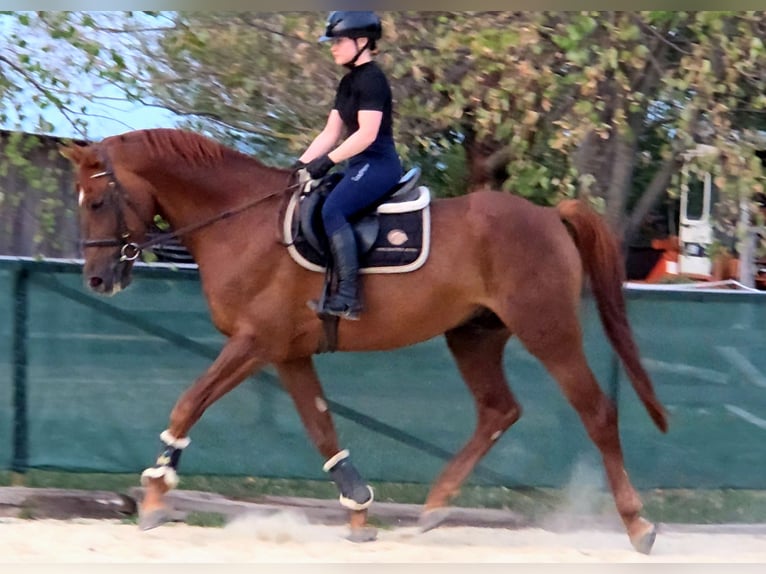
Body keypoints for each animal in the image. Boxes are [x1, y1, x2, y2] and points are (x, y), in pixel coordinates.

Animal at [61, 127, 668, 554]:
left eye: (97, 203)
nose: (97, 280)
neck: (240, 223)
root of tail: (548, 215)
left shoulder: (254, 344)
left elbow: (188, 403)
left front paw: (155, 493)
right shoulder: (288, 354)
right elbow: (322, 428)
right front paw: (357, 509)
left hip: (548, 331)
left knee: (597, 413)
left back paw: (638, 524)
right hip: (473, 336)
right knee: (499, 410)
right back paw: (433, 508)